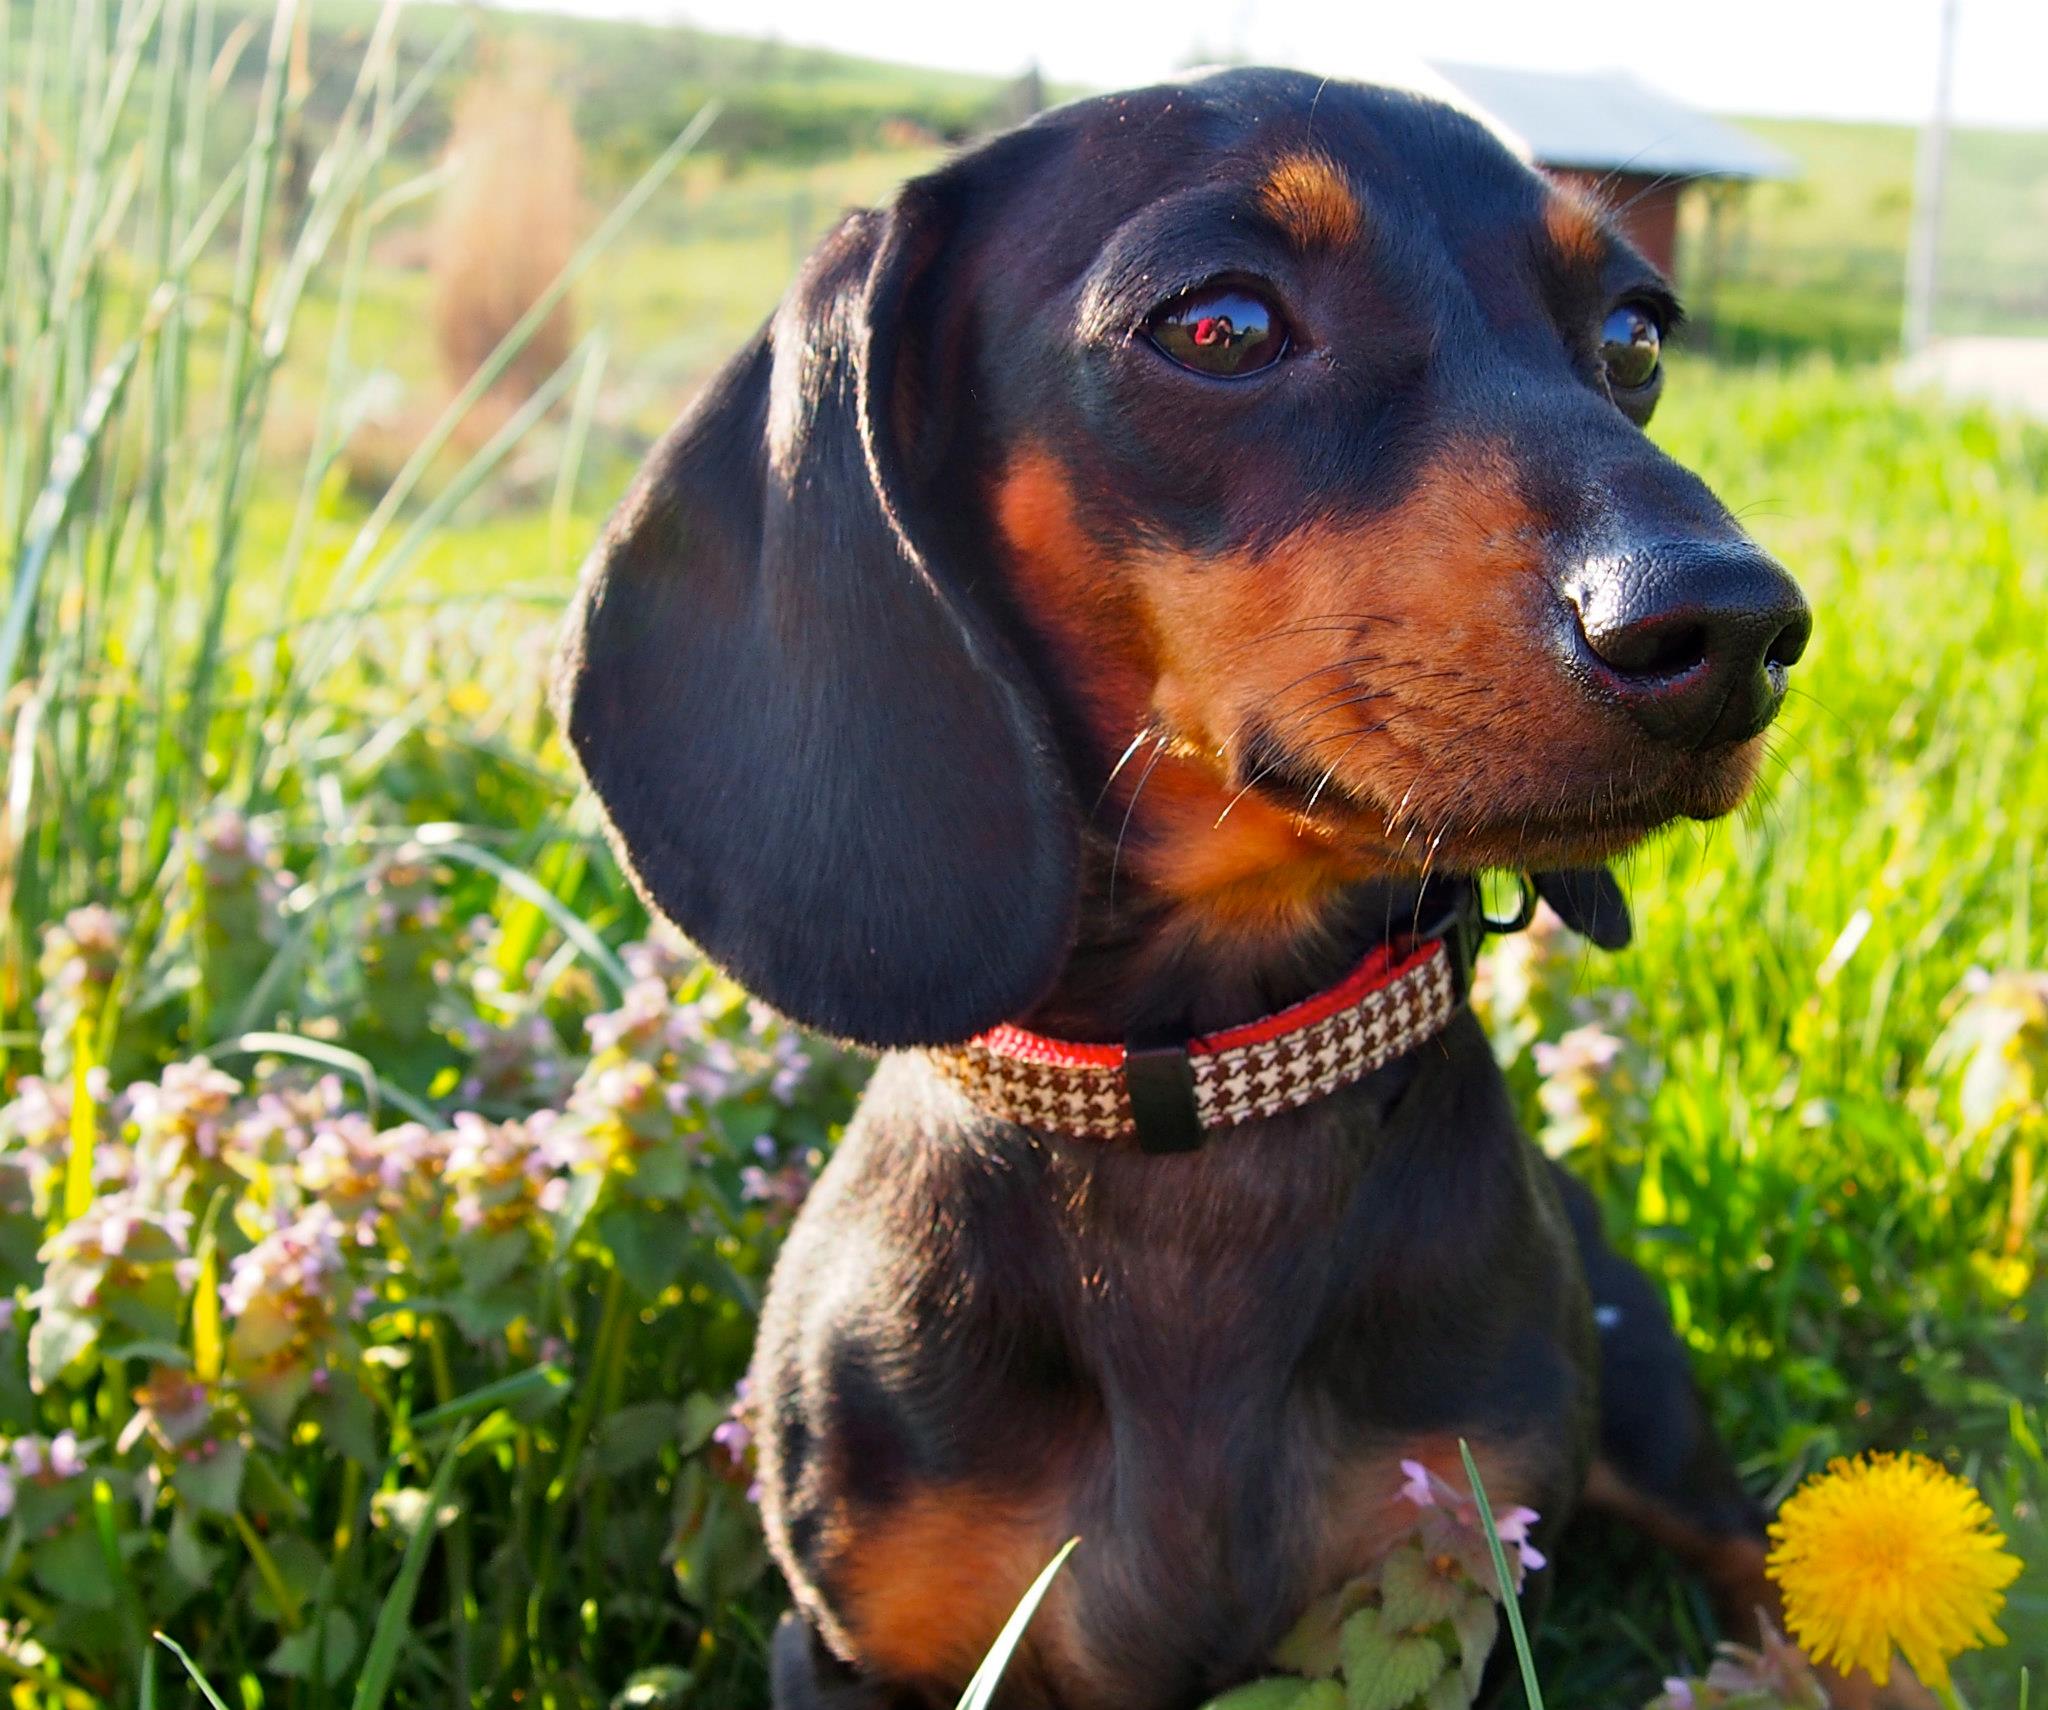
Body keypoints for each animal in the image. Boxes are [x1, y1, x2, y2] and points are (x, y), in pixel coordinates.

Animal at [557, 67, 1916, 1710]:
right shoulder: (844, 1649)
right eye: (1220, 325)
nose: (1731, 629)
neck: (1207, 1099)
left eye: (1637, 337)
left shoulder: (1443, 1595)